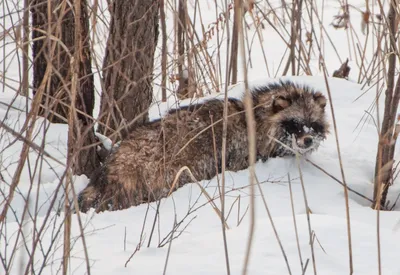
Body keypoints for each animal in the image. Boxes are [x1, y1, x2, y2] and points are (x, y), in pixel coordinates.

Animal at [77, 81, 328, 212]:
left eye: (313, 124)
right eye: (295, 124)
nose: (308, 140)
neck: (255, 118)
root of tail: (112, 166)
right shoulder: (240, 150)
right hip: (156, 170)